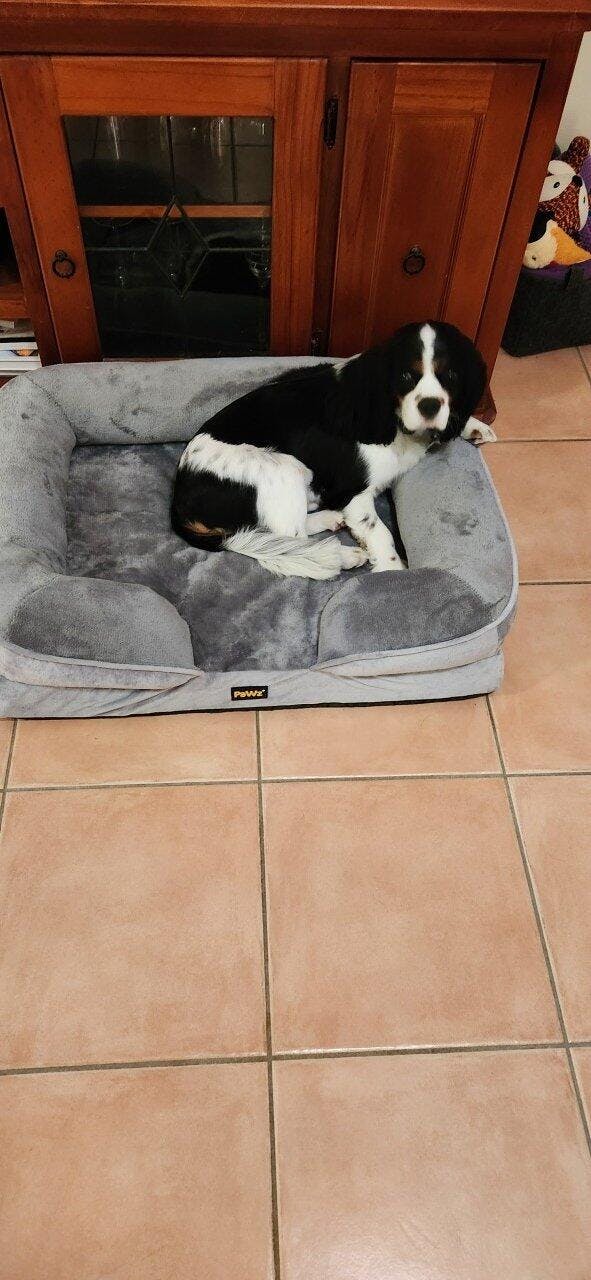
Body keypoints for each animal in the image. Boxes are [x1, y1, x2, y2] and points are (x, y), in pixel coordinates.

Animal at [171, 321, 496, 579]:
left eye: (450, 376)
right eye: (406, 376)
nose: (429, 406)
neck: (396, 422)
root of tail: (179, 502)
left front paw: (473, 425)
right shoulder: (354, 496)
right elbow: (381, 532)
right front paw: (392, 571)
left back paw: (329, 519)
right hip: (285, 468)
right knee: (289, 539)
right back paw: (343, 556)